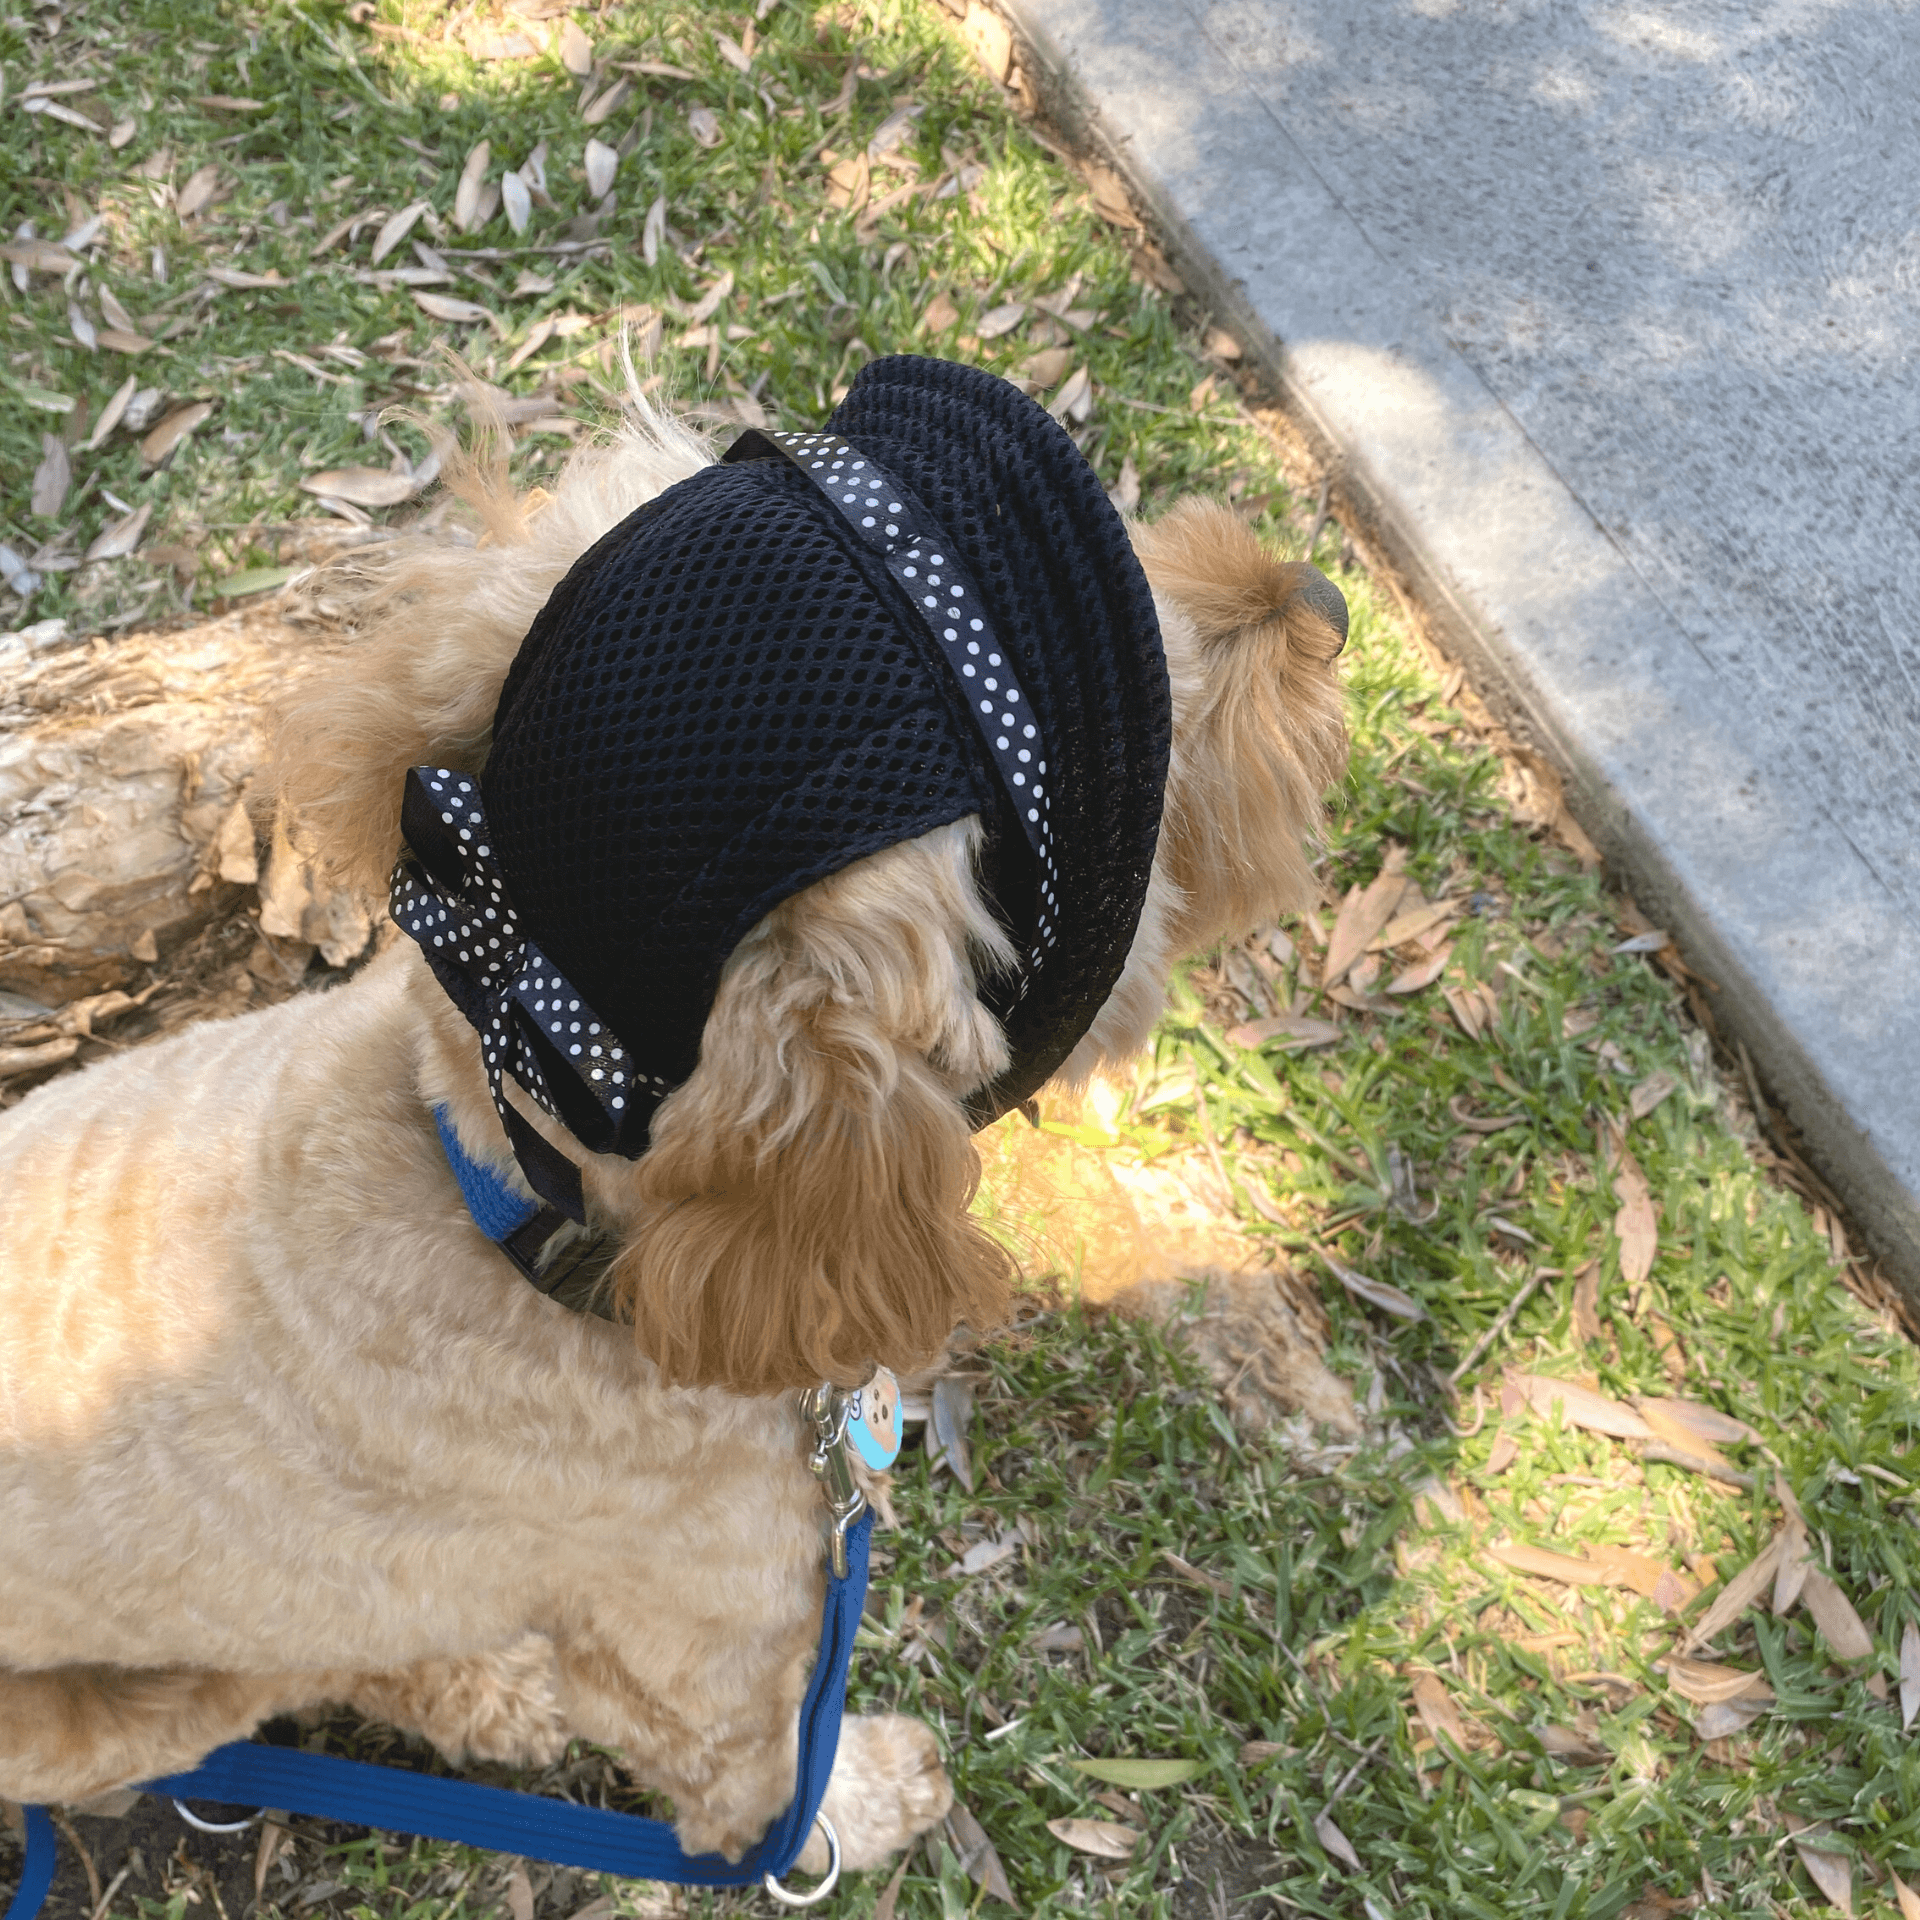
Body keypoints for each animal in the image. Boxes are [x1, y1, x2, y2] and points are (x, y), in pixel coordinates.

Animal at [0, 360, 1351, 1873]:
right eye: (1149, 771)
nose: (1323, 599)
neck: (527, 1216)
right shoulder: (703, 1649)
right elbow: (766, 1782)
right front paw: (870, 1801)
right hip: (112, 1707)